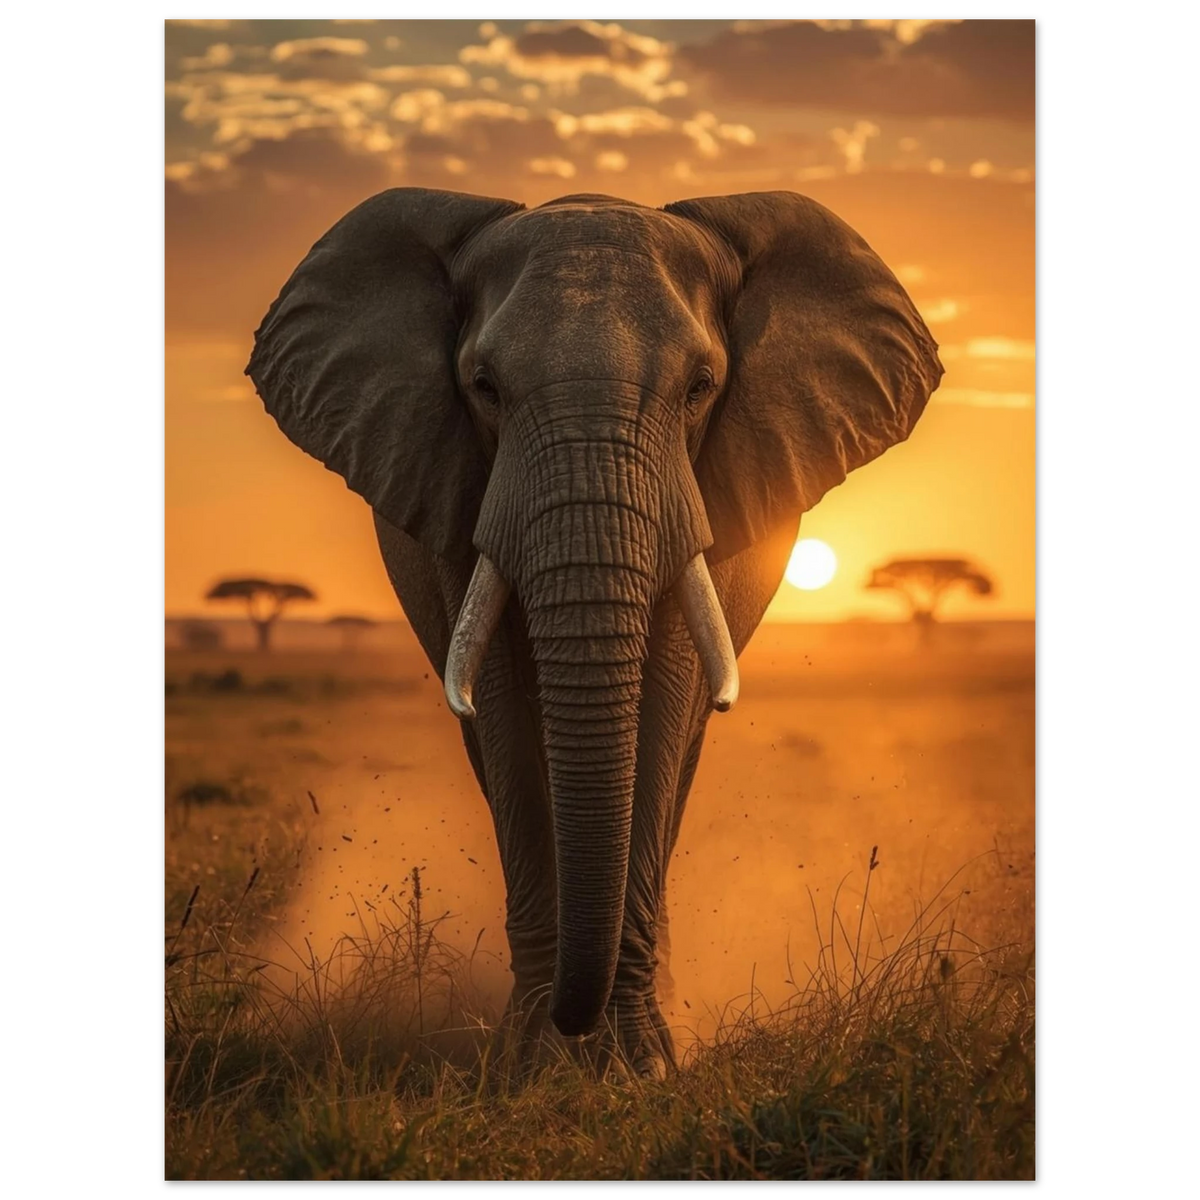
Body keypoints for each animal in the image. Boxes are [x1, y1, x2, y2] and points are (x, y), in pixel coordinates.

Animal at [245, 188, 943, 1079]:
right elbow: (506, 719)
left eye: (701, 387)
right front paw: (531, 1068)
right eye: (483, 387)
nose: (576, 1027)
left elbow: (663, 706)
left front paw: (641, 1068)